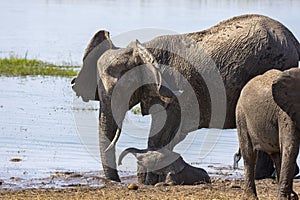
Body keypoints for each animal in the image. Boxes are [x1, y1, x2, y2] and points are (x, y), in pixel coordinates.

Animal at [72, 14, 300, 183]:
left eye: (122, 91)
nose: (116, 181)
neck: (139, 49)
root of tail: (294, 42)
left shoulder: (174, 93)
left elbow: (162, 134)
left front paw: (148, 181)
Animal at [237, 68, 300, 199]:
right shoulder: (286, 113)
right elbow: (290, 147)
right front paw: (284, 199)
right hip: (241, 115)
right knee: (250, 155)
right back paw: (251, 197)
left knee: (277, 155)